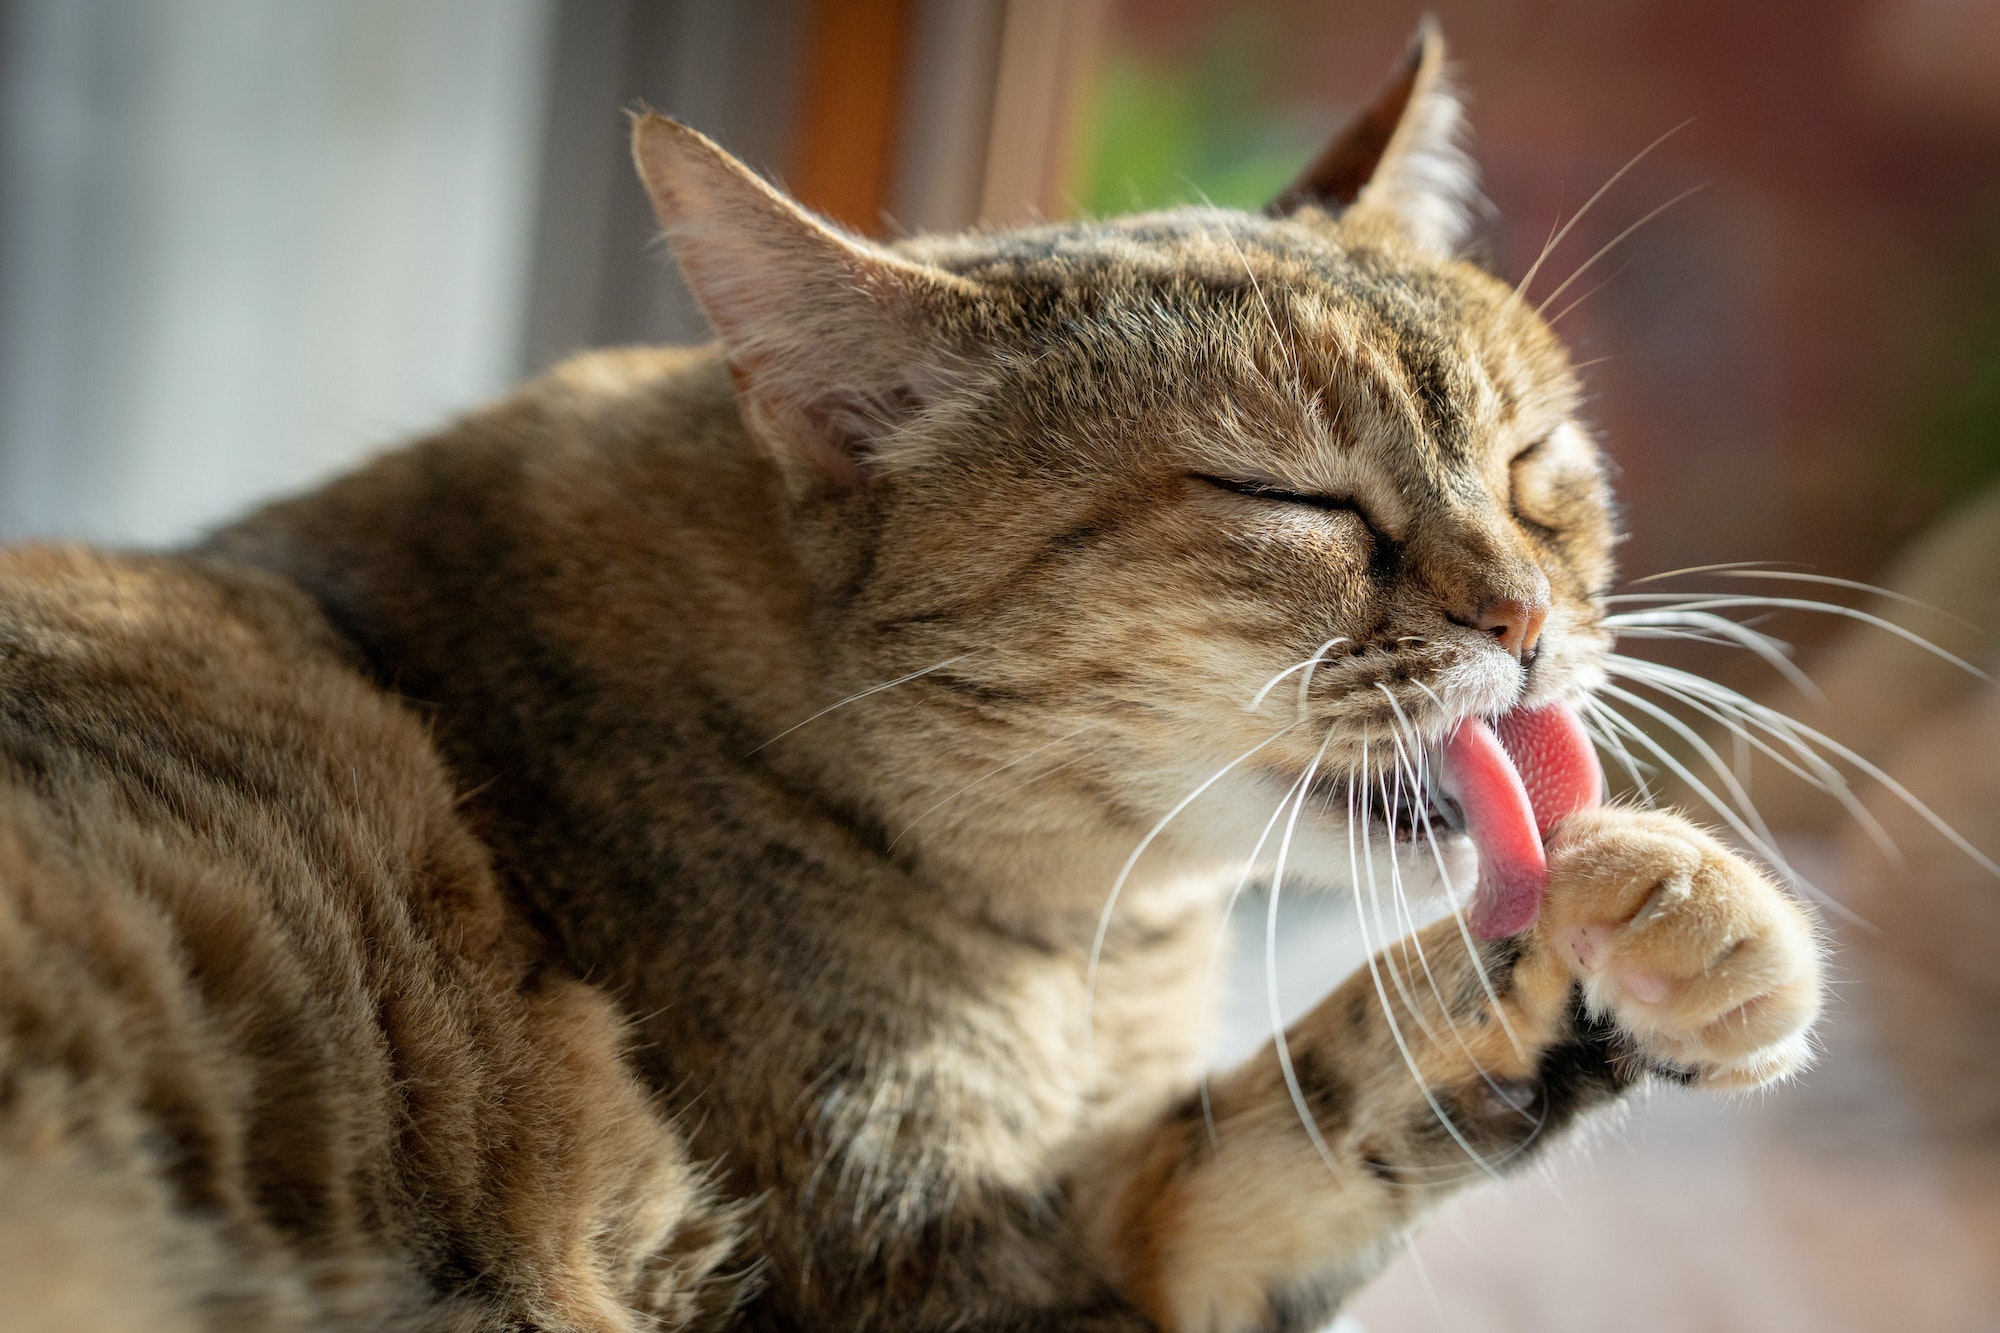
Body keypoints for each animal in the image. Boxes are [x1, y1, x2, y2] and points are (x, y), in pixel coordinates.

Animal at [0, 23, 1824, 1328]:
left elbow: (1268, 1138)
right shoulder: (917, 1276)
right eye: (1287, 497)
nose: (1525, 615)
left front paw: (1656, 924)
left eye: (1535, 461)